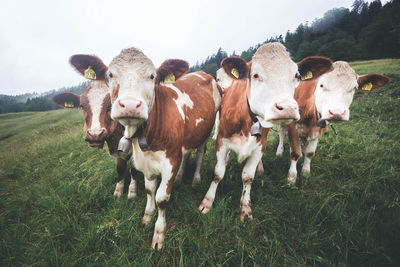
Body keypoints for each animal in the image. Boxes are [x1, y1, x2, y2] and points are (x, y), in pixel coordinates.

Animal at [53, 55, 138, 199]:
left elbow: (133, 168)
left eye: (113, 103)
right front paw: (118, 191)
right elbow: (120, 167)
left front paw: (132, 192)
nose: (95, 134)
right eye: (82, 106)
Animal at [69, 47, 223, 250]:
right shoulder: (145, 162)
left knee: (200, 153)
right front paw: (147, 217)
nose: (130, 105)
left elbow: (161, 198)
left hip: (206, 131)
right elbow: (150, 191)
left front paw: (159, 234)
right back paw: (181, 177)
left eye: (152, 76)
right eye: (110, 74)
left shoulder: (170, 162)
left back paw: (196, 179)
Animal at [198, 42, 332, 222]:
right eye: (255, 75)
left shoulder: (259, 146)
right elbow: (218, 173)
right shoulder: (222, 142)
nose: (287, 107)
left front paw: (245, 208)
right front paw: (207, 202)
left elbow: (248, 177)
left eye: (296, 75)